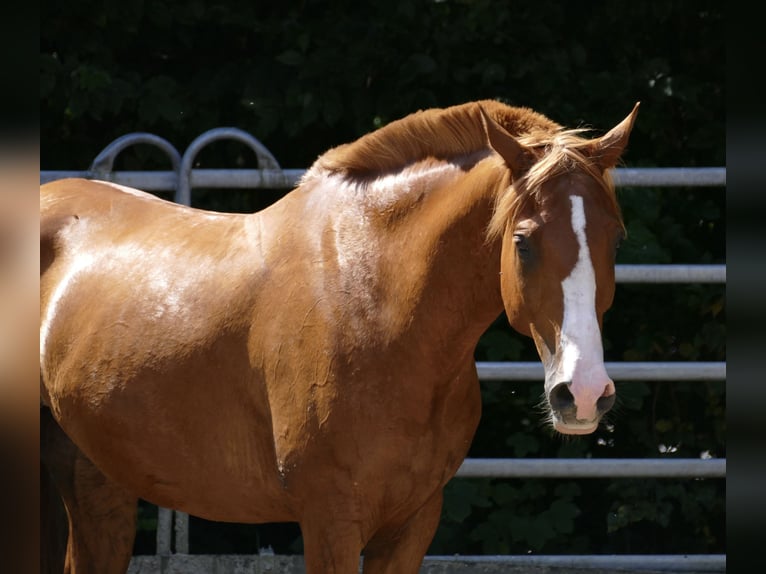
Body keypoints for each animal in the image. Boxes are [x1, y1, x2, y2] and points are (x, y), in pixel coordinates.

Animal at [40, 101, 640, 572]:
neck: (375, 305)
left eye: (615, 240)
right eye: (523, 241)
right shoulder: (331, 521)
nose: (584, 394)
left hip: (98, 482)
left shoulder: (411, 524)